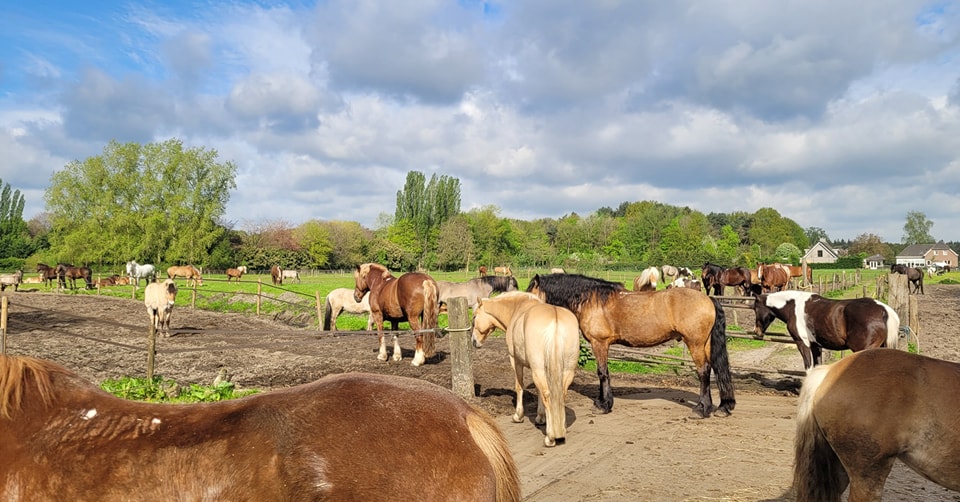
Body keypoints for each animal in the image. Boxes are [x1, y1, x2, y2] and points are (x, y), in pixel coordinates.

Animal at [471, 291, 580, 447]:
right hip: (566, 371)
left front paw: (518, 416)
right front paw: (541, 418)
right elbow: (538, 391)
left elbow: (519, 387)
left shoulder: (515, 361)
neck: (517, 309)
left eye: (474, 317)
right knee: (560, 394)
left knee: (548, 395)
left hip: (538, 369)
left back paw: (550, 437)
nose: (474, 341)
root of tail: (555, 319)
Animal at [527, 273, 735, 417]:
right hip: (705, 343)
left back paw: (702, 409)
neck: (592, 300)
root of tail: (708, 299)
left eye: (531, 294)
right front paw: (602, 402)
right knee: (714, 368)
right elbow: (604, 372)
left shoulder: (599, 343)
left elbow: (602, 373)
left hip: (695, 343)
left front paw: (604, 405)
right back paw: (720, 407)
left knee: (703, 371)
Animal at [753, 290, 900, 371]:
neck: (793, 306)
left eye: (755, 308)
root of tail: (884, 310)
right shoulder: (816, 345)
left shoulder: (802, 343)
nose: (756, 331)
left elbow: (808, 367)